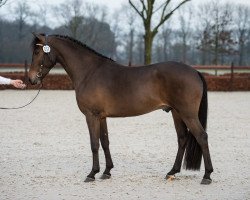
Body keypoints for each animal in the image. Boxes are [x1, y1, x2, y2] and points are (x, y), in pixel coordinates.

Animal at [28, 33, 213, 184]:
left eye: (37, 52)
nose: (31, 79)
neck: (89, 72)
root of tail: (194, 72)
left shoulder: (91, 115)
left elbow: (94, 144)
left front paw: (92, 173)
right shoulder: (101, 117)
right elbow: (105, 142)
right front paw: (106, 172)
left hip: (188, 114)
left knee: (202, 137)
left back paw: (207, 176)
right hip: (176, 113)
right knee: (182, 139)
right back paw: (172, 172)